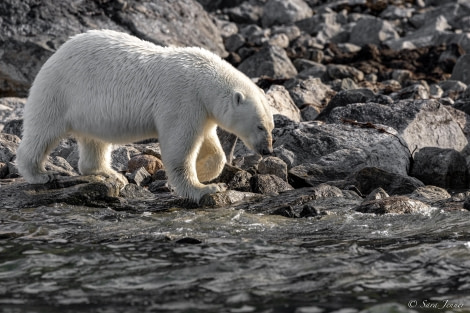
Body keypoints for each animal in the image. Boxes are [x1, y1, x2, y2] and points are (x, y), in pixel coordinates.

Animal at [15, 29, 276, 202]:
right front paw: (204, 189)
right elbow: (179, 148)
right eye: (260, 126)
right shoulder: (182, 99)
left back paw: (109, 174)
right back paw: (41, 174)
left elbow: (211, 145)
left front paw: (205, 172)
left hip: (88, 112)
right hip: (59, 93)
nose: (267, 150)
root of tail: (55, 55)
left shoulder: (202, 109)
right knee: (43, 132)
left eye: (271, 126)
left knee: (95, 140)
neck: (204, 78)